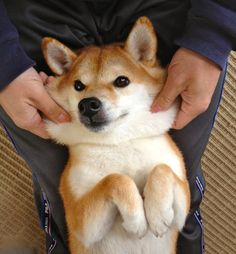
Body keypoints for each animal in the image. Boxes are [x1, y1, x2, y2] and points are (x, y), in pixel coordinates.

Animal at [42, 16, 190, 253]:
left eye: (122, 81)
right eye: (78, 86)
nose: (88, 104)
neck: (119, 141)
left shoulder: (183, 205)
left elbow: (161, 170)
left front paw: (157, 213)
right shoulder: (80, 222)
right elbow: (115, 179)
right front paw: (137, 219)